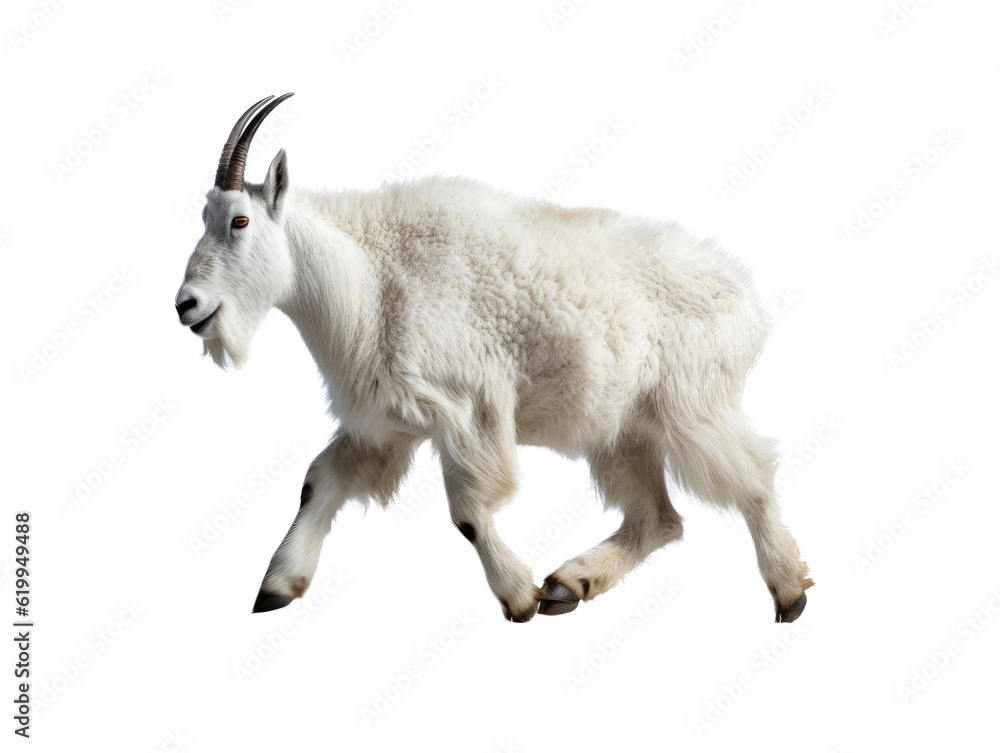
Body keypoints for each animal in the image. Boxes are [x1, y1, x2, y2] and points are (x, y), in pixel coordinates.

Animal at [176, 94, 813, 623]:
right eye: (205, 219)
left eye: (240, 220)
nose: (188, 305)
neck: (369, 278)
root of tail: (748, 299)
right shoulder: (386, 422)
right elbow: (317, 482)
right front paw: (275, 588)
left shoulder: (466, 409)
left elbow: (467, 513)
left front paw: (518, 598)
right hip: (624, 431)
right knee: (660, 518)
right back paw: (570, 585)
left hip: (692, 403)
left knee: (753, 478)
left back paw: (789, 591)